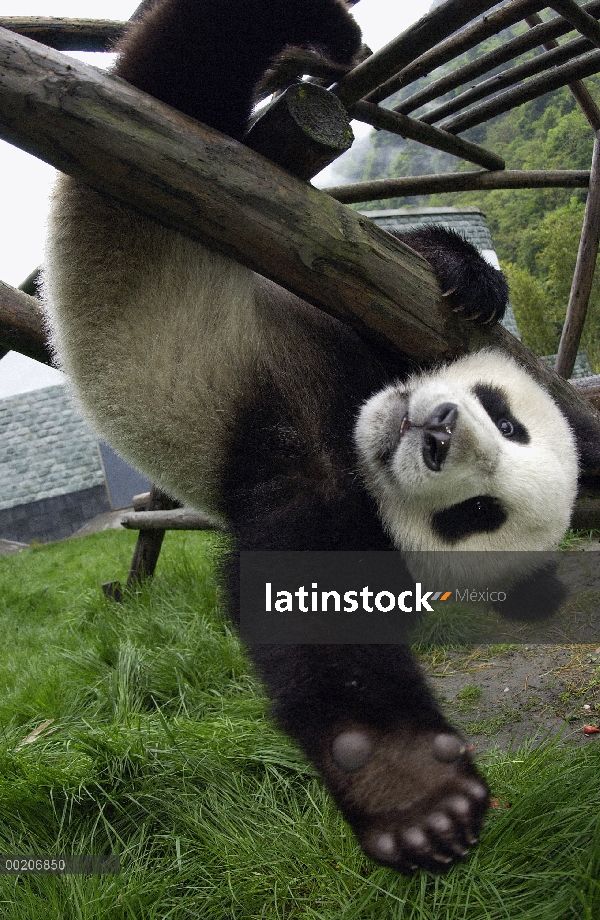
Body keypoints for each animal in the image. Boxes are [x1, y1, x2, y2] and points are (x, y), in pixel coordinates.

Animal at [42, 0, 596, 876]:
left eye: (476, 514)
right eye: (502, 416)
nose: (434, 426)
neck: (353, 415)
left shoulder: (318, 481)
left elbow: (311, 618)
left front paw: (413, 795)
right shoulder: (359, 341)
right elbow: (404, 281)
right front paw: (470, 276)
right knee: (186, 66)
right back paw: (321, 38)